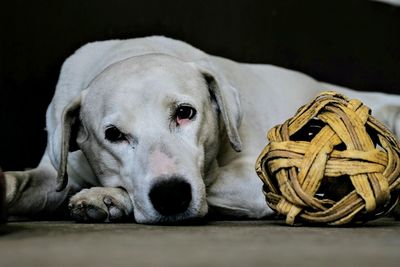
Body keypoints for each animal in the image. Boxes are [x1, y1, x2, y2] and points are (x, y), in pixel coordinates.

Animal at [3, 35, 400, 224]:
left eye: (185, 113)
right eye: (113, 135)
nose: (170, 195)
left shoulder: (253, 180)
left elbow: (211, 183)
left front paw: (108, 197)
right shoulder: (54, 173)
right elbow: (28, 182)